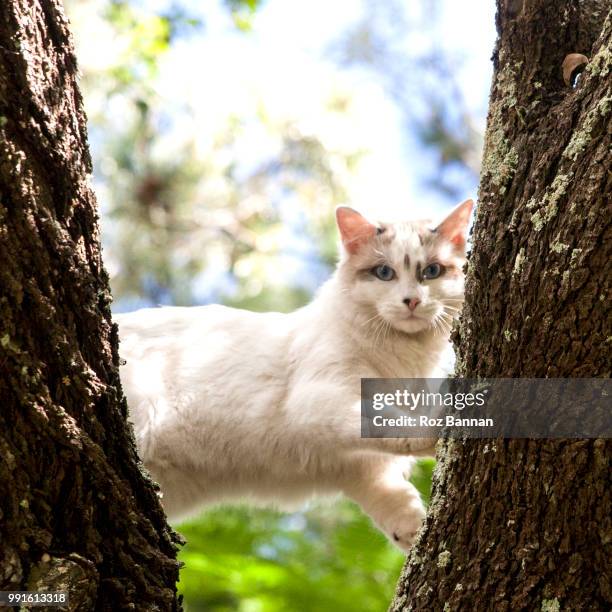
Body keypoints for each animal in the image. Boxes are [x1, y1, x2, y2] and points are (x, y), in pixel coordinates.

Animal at [118, 198, 474, 552]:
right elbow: (393, 424)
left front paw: (416, 540)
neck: (406, 361)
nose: (411, 301)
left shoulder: (361, 470)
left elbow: (397, 503)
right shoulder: (321, 403)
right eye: (385, 273)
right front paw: (440, 428)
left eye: (432, 271)